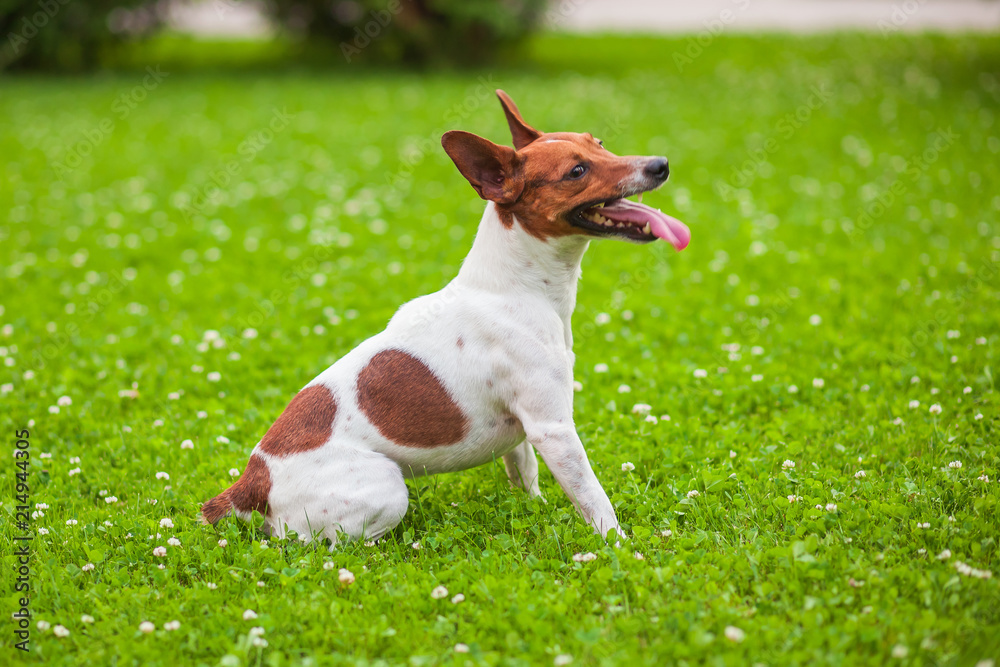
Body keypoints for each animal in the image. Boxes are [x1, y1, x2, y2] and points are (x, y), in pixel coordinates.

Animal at [201, 90, 688, 548]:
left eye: (600, 144)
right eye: (577, 172)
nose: (661, 164)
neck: (516, 287)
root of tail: (250, 483)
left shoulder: (526, 432)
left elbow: (524, 473)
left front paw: (534, 509)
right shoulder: (554, 430)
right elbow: (594, 498)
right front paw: (620, 547)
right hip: (386, 490)